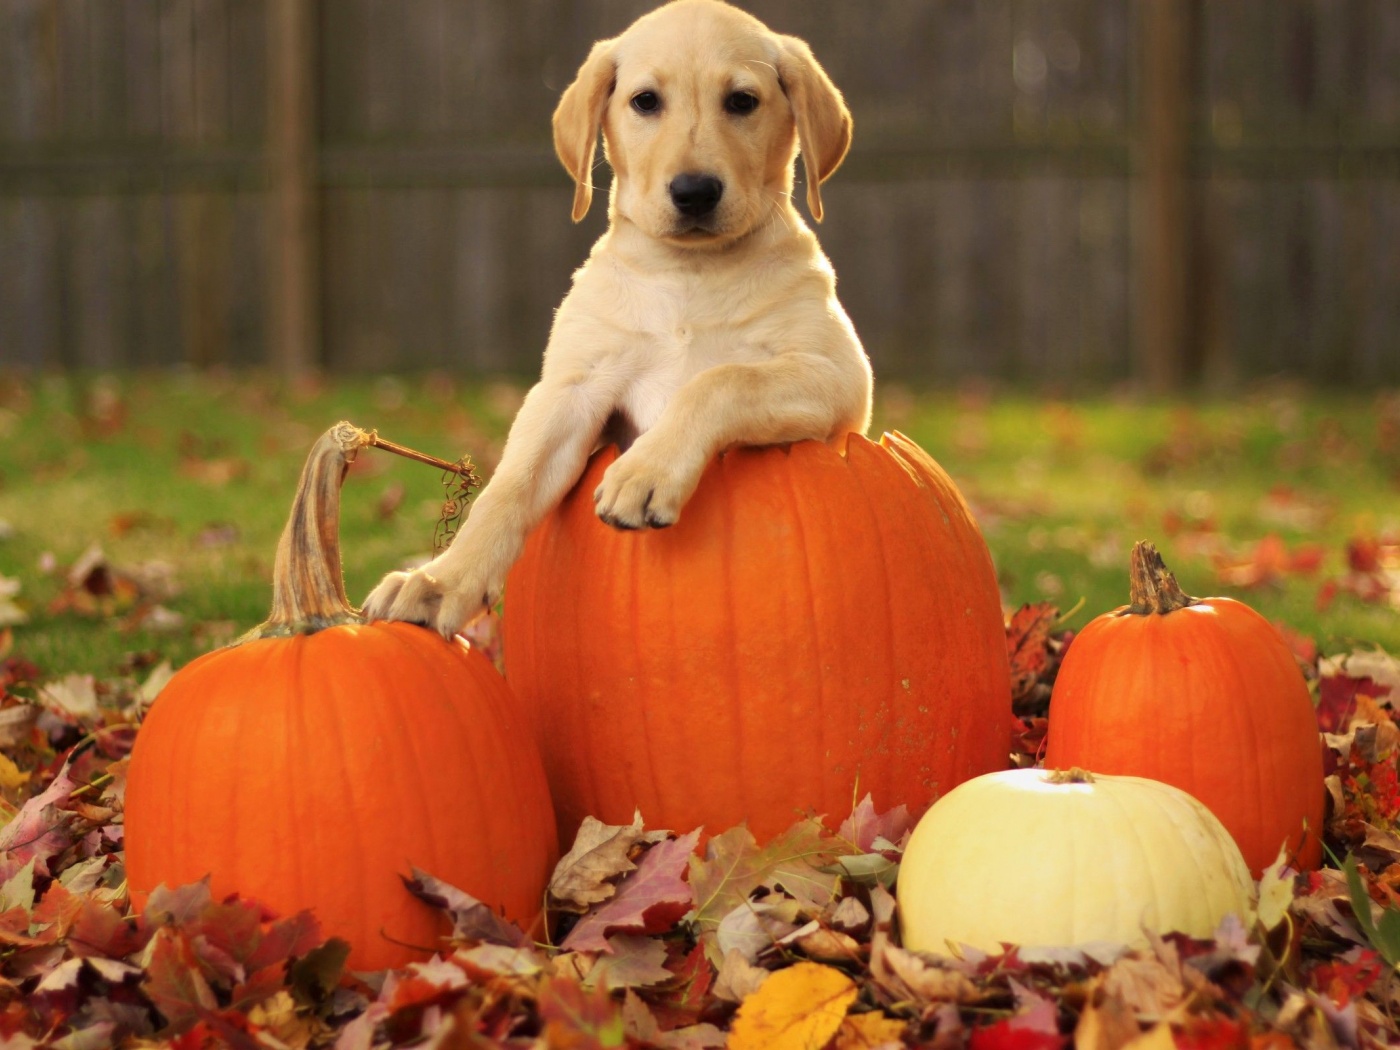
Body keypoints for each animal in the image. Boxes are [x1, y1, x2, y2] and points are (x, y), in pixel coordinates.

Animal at [372, 0, 873, 638]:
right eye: (645, 101)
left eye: (742, 101)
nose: (694, 192)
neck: (689, 274)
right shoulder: (572, 390)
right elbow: (510, 485)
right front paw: (441, 581)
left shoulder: (837, 376)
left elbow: (722, 379)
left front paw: (645, 472)